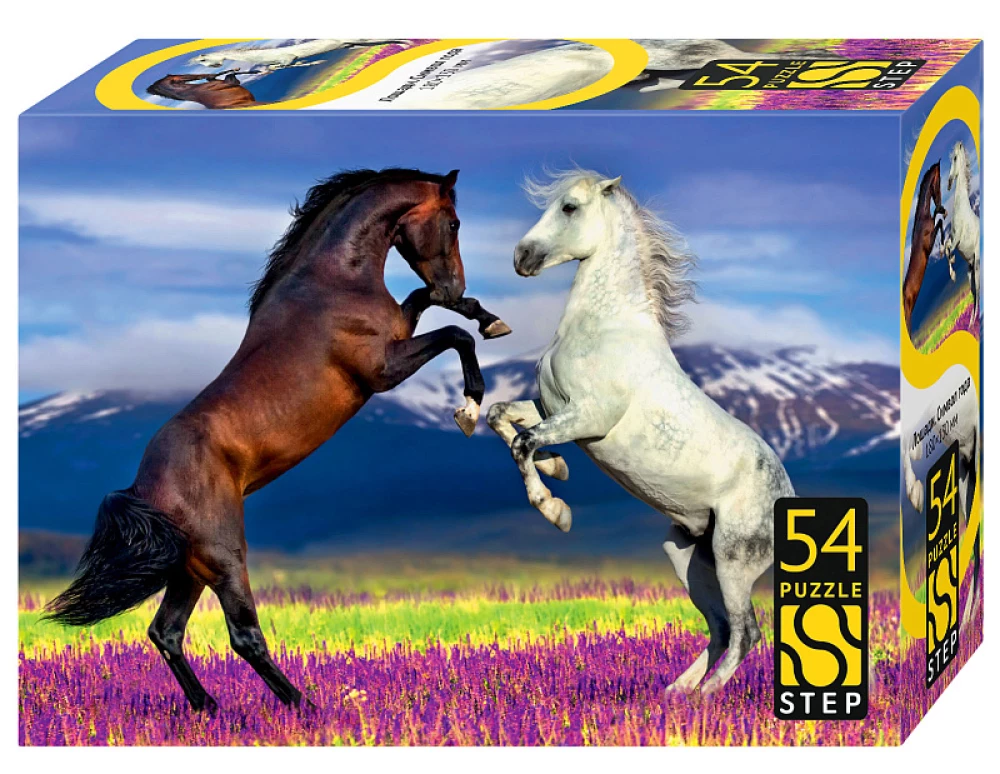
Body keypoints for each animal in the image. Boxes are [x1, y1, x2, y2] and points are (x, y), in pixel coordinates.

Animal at [44, 168, 511, 712]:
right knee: (243, 636)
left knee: (166, 632)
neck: (333, 282)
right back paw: (304, 707)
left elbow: (430, 305)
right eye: (453, 222)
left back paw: (209, 710)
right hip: (225, 558)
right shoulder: (382, 370)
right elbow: (456, 335)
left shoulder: (400, 330)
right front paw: (469, 406)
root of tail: (143, 487)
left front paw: (488, 316)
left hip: (190, 568)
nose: (456, 281)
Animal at [487, 169, 794, 694]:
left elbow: (524, 443)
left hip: (734, 560)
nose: (521, 257)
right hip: (688, 556)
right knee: (719, 627)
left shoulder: (587, 417)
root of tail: (789, 498)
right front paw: (558, 468)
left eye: (569, 207)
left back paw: (705, 698)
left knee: (746, 631)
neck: (605, 328)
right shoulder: (550, 406)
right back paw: (675, 693)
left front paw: (555, 510)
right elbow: (500, 417)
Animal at [902, 160, 946, 333]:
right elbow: (939, 223)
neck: (923, 219)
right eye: (938, 182)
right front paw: (942, 250)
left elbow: (938, 220)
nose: (940, 202)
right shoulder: (928, 245)